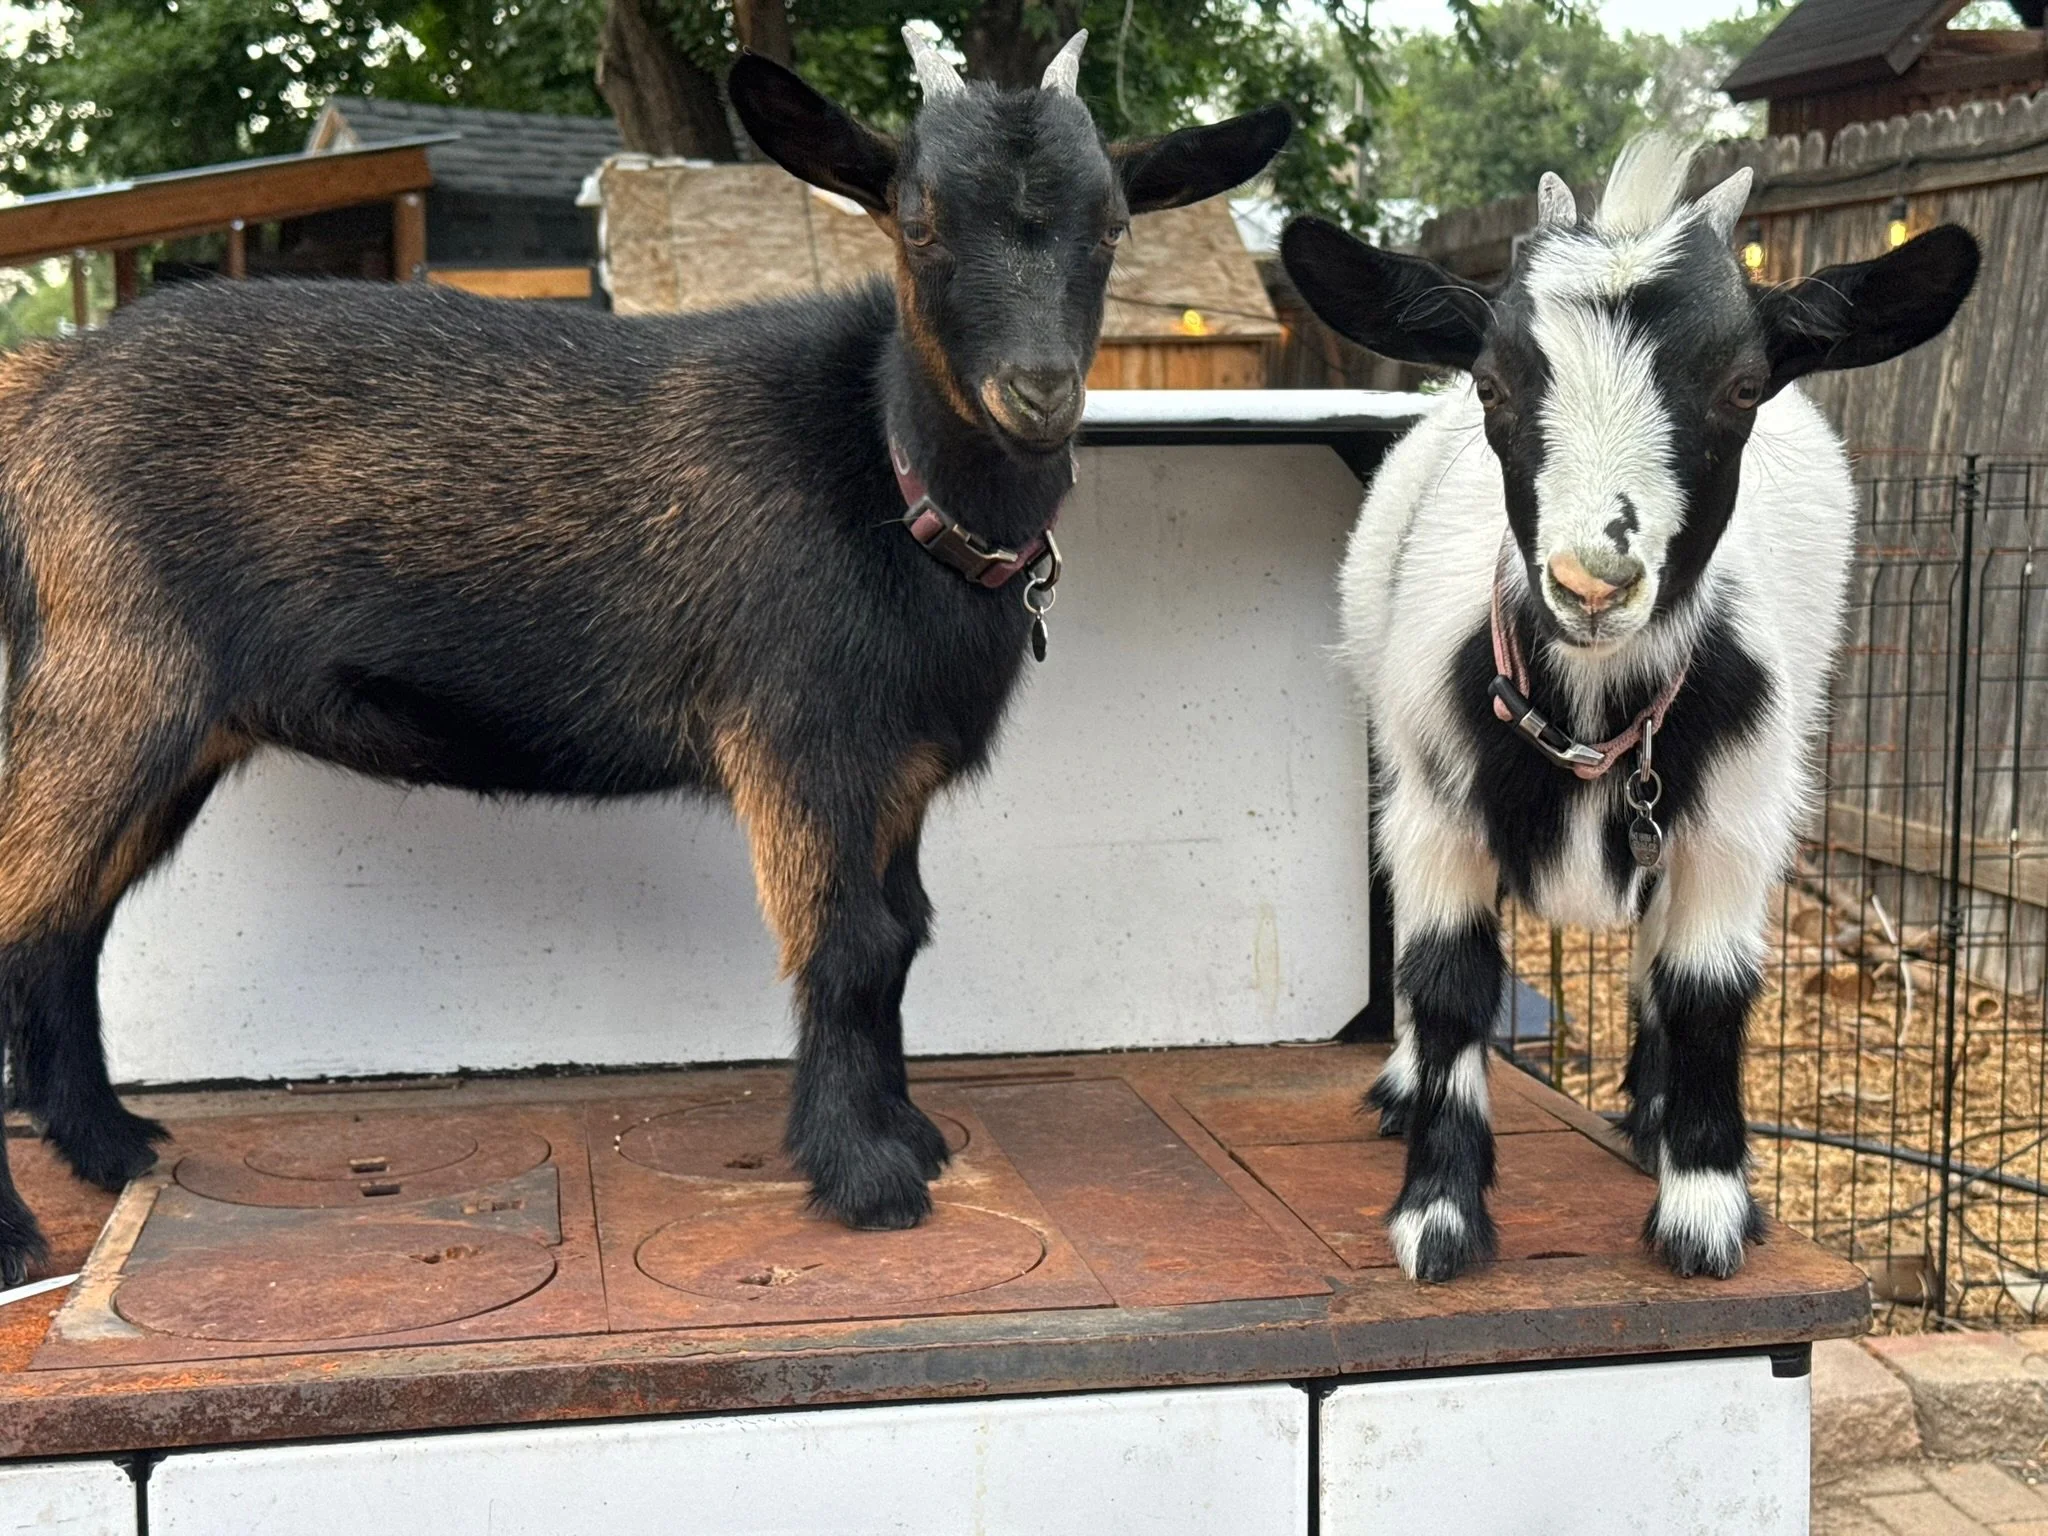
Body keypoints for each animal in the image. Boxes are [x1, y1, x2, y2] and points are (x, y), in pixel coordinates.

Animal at [0, 33, 1289, 1282]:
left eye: (1112, 221)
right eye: (917, 219)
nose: (1037, 392)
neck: (889, 482)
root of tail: (48, 386)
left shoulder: (898, 767)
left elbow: (903, 933)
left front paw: (908, 1135)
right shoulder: (800, 737)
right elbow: (849, 943)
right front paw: (865, 1177)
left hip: (172, 726)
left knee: (64, 928)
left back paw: (111, 1149)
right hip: (112, 685)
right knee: (33, 914)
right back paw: (27, 1228)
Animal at [1282, 136, 1978, 1283]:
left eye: (1742, 385)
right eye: (1492, 381)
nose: (1592, 583)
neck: (1588, 705)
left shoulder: (1738, 818)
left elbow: (1705, 988)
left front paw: (1703, 1211)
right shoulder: (1432, 806)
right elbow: (1446, 979)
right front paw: (1437, 1216)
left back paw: (1651, 1121)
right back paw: (1402, 1090)